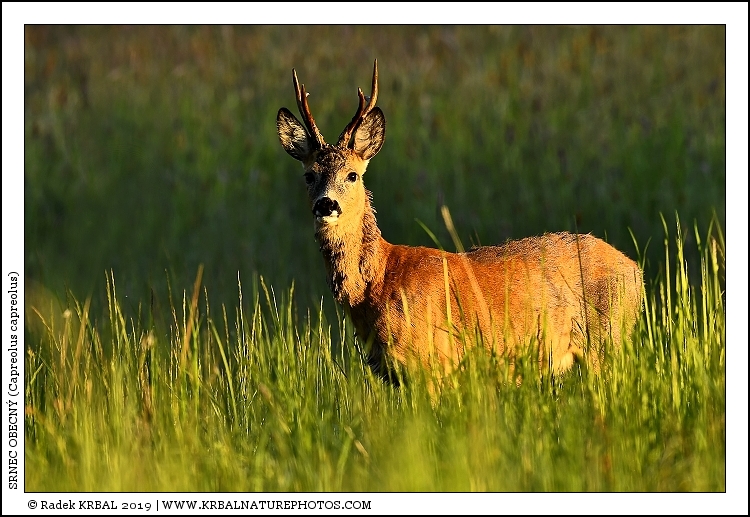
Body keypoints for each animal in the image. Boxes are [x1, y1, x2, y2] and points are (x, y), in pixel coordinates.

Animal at [276, 60, 643, 384]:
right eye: (309, 175)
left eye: (352, 175)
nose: (326, 204)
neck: (378, 283)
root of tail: (634, 269)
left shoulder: (432, 364)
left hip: (606, 340)